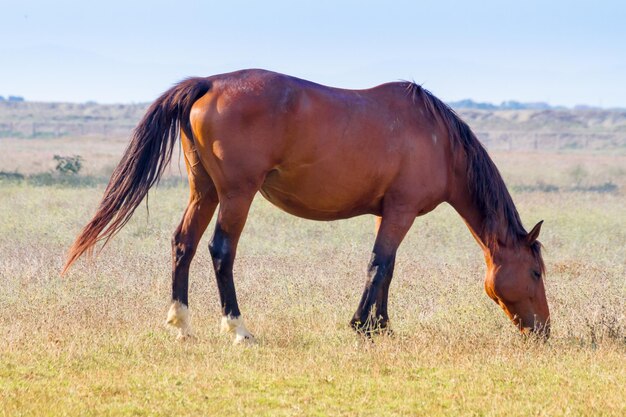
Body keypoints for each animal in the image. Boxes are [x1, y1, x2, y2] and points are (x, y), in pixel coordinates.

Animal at [63, 68, 548, 342]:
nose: (542, 330)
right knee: (221, 251)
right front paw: (362, 326)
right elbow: (379, 265)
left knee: (183, 243)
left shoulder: (390, 214)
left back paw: (182, 325)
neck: (438, 141)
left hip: (205, 191)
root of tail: (209, 84)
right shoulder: (401, 212)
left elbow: (388, 268)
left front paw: (382, 326)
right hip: (236, 195)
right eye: (537, 273)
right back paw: (237, 329)